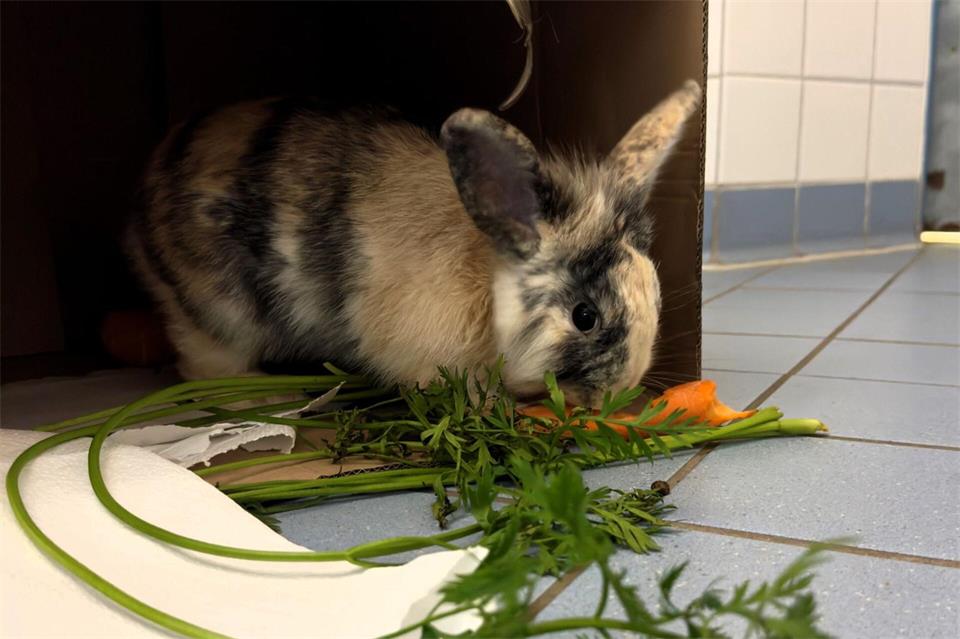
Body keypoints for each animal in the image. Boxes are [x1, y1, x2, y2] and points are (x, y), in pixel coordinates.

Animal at [125, 80, 702, 408]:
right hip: (217, 316)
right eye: (585, 317)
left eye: (655, 295)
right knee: (205, 368)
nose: (622, 388)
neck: (483, 279)